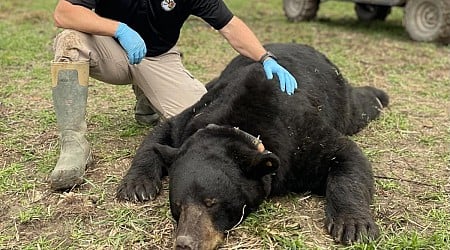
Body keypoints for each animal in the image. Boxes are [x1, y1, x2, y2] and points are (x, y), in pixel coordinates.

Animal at [118, 43, 388, 250]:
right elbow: (160, 135)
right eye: (178, 205)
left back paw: (379, 95)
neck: (238, 127)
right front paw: (137, 184)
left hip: (340, 98)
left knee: (359, 108)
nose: (185, 243)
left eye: (211, 202)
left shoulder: (299, 136)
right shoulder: (192, 119)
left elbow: (346, 155)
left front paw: (352, 223)